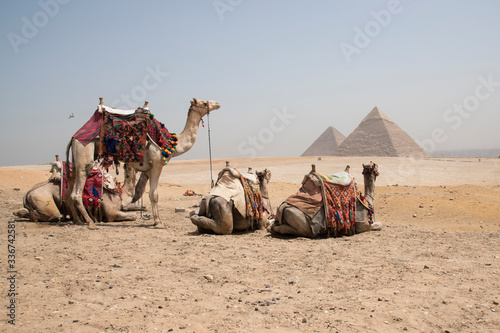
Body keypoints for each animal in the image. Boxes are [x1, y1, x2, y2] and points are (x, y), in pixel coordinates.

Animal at [65, 97, 220, 230]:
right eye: (203, 102)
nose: (217, 103)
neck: (171, 143)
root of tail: (74, 137)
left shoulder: (149, 168)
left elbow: (151, 194)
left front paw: (156, 221)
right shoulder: (157, 164)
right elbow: (154, 194)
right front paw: (159, 223)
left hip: (76, 161)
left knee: (68, 192)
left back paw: (78, 220)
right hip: (85, 155)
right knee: (76, 193)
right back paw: (90, 223)